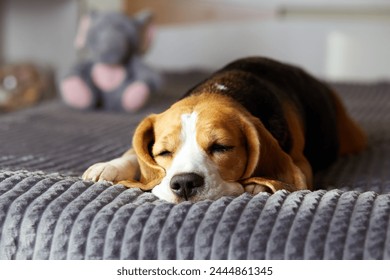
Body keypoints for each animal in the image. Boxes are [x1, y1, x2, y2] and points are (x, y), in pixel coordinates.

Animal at [82, 57, 366, 202]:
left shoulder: (301, 165)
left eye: (221, 147)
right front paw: (109, 166)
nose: (184, 183)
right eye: (163, 153)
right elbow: (133, 153)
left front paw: (260, 186)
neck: (218, 90)